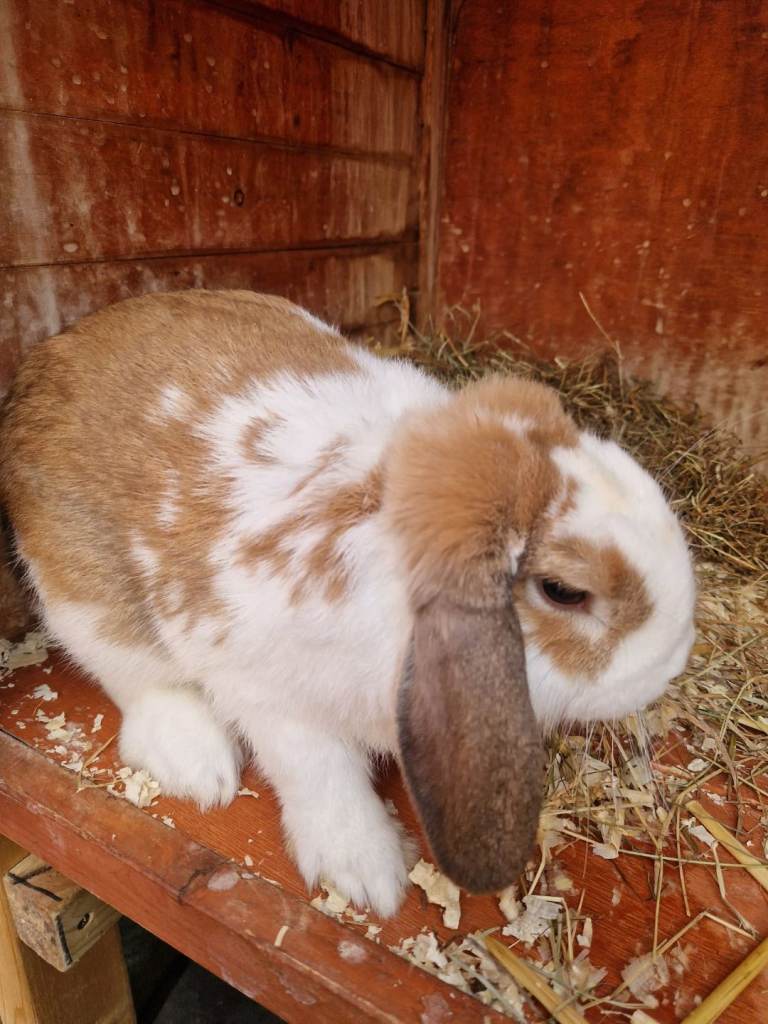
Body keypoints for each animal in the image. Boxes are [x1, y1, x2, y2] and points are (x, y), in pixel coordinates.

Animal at [0, 290, 696, 916]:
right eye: (564, 592)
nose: (675, 658)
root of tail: (40, 366)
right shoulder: (276, 698)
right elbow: (323, 777)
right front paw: (368, 875)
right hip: (85, 602)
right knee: (139, 681)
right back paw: (200, 769)